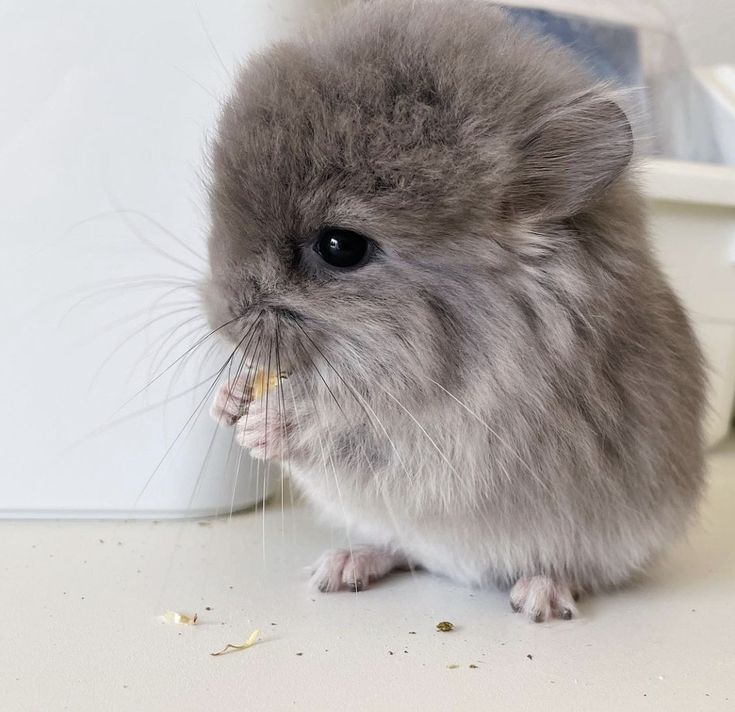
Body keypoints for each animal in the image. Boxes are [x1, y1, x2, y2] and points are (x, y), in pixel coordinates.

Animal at [203, 0, 708, 620]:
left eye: (340, 246)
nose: (220, 317)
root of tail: (460, 568)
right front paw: (229, 402)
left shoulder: (459, 433)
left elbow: (350, 433)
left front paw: (267, 424)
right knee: (402, 550)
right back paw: (343, 566)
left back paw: (540, 598)